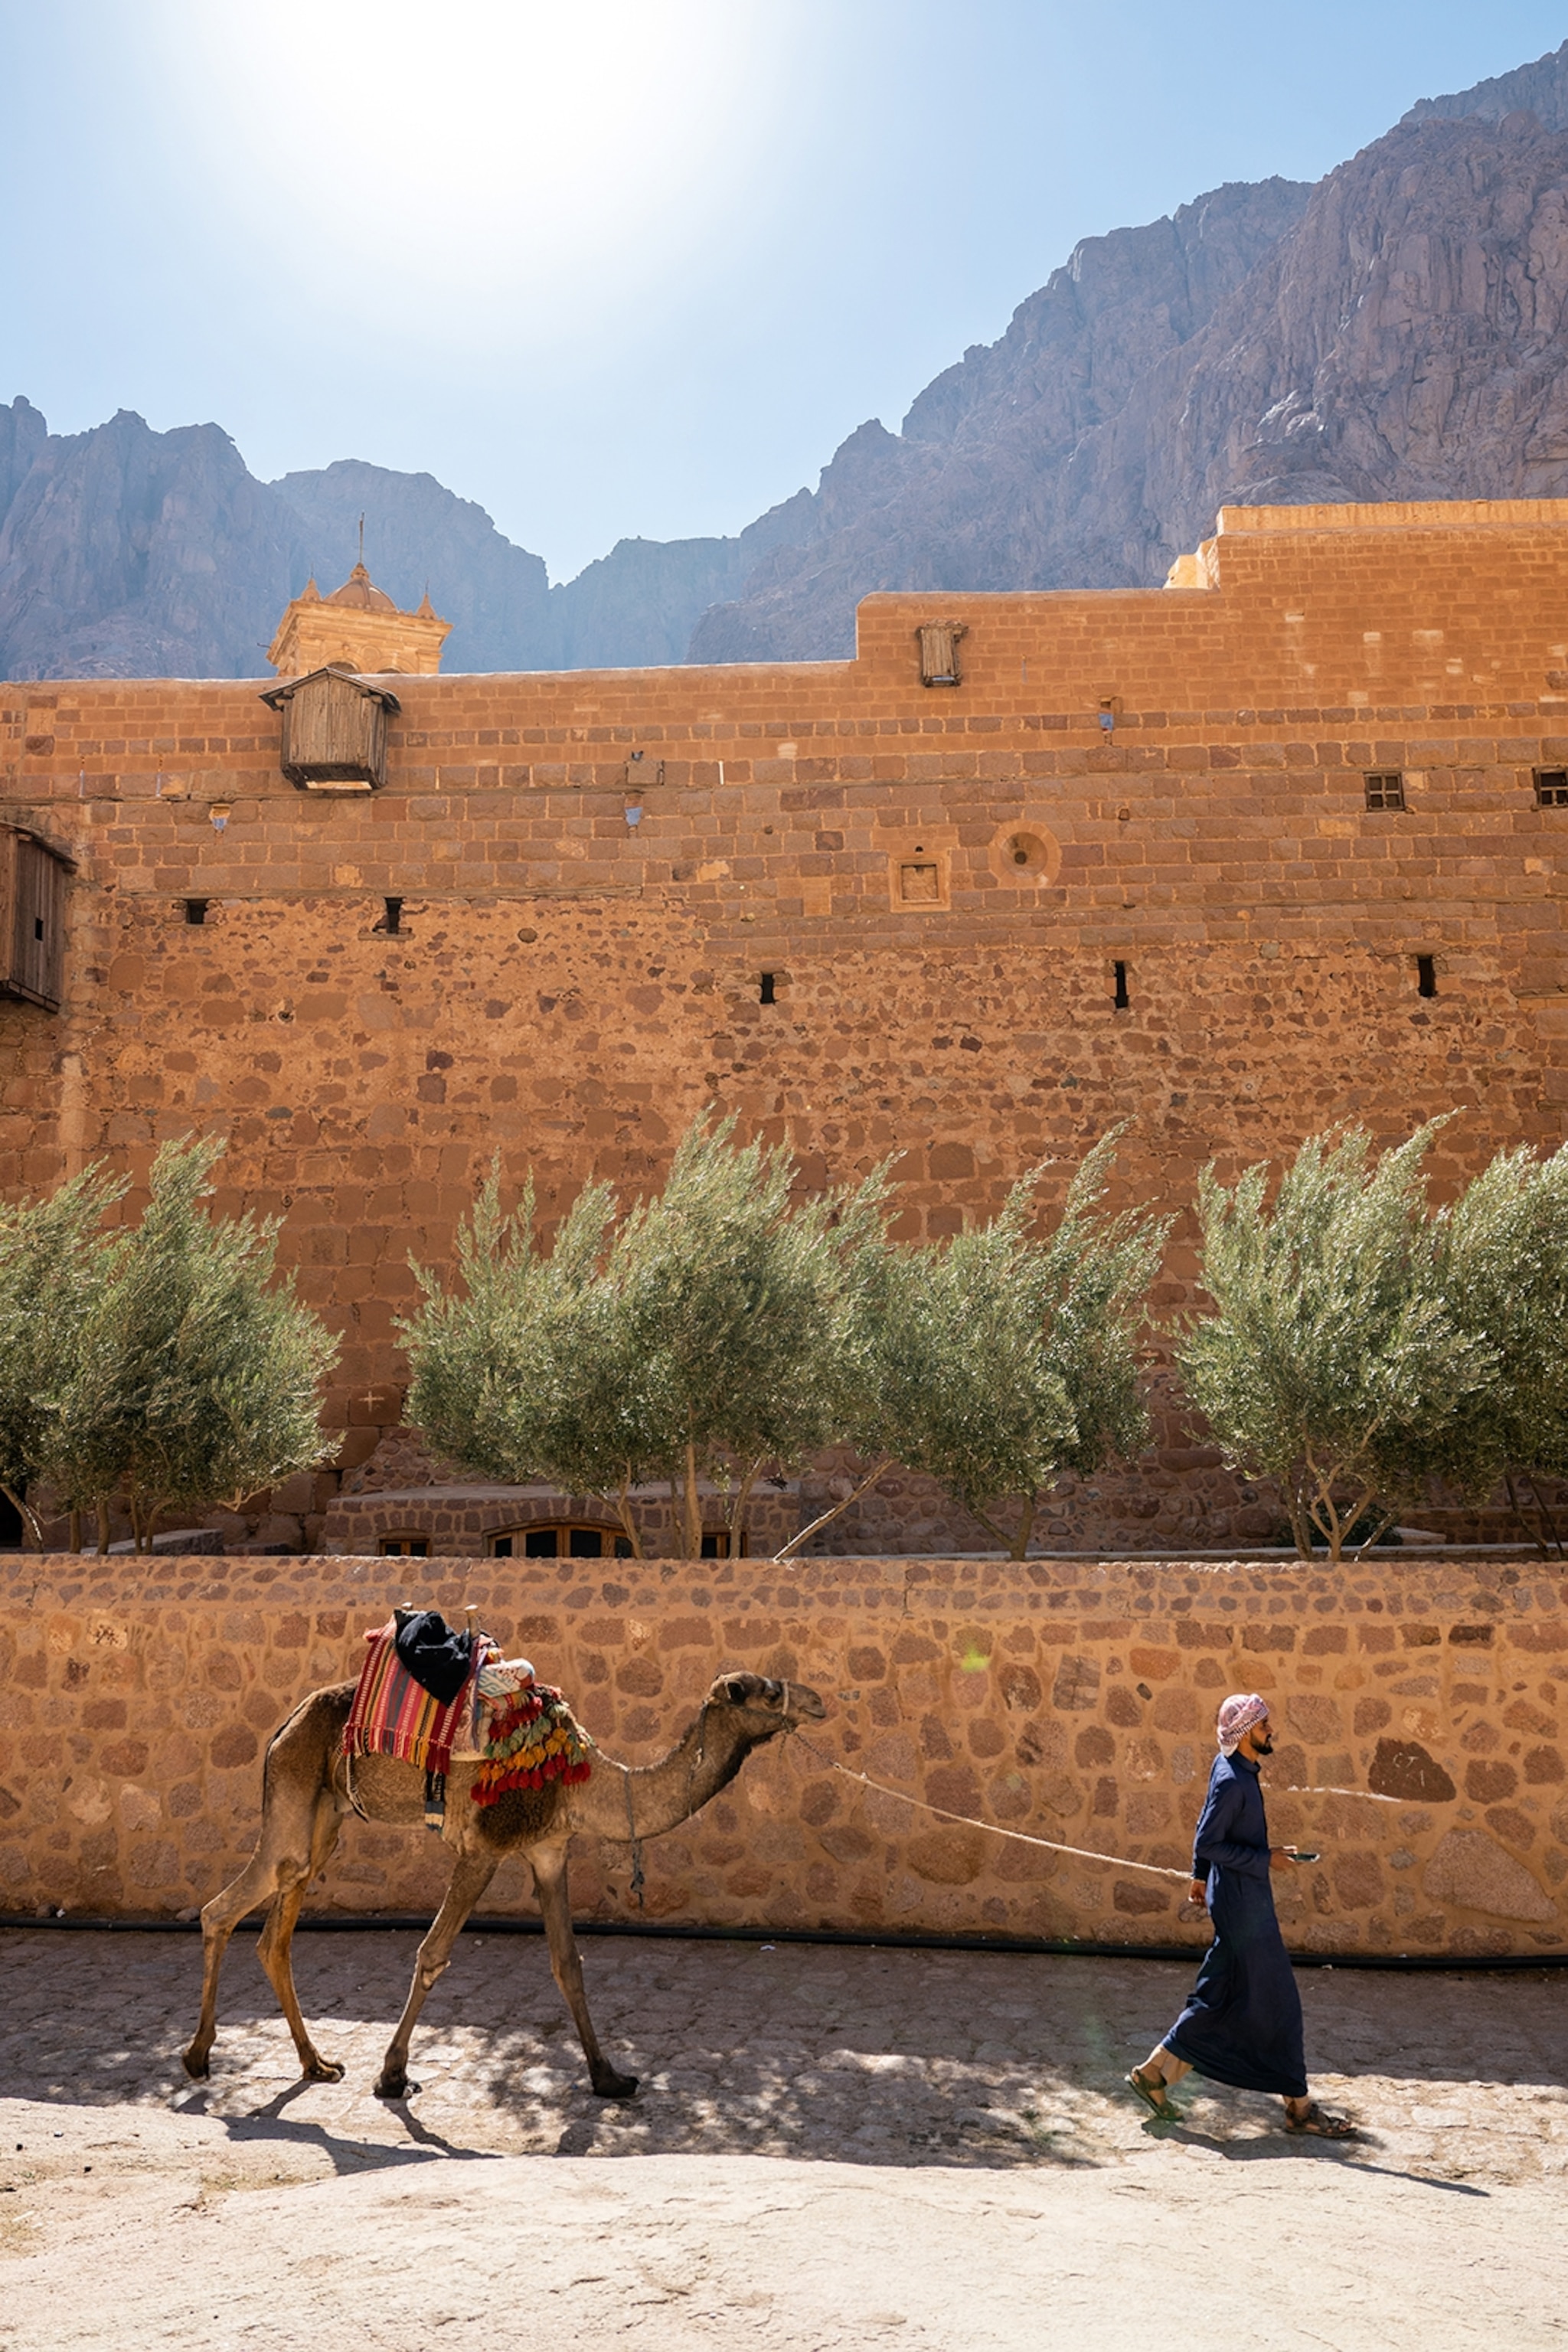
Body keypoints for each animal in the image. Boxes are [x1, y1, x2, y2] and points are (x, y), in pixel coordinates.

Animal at [183, 1669, 825, 2101]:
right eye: (768, 1691)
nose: (818, 1701)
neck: (584, 1780)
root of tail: (283, 1727)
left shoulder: (549, 1850)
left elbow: (568, 1964)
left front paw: (609, 2077)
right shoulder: (483, 1848)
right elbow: (432, 1954)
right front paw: (392, 2075)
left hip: (325, 1821)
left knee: (276, 1931)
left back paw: (316, 2065)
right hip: (293, 1797)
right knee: (222, 1909)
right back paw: (197, 2057)